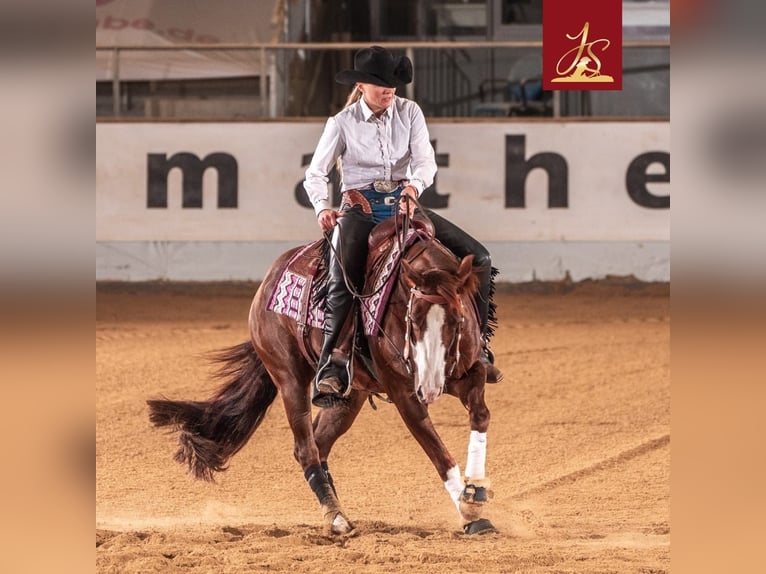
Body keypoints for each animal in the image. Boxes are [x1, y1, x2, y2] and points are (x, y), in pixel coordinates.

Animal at [148, 213, 500, 540]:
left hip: (349, 396)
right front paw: (470, 514)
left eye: (457, 319)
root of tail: (267, 282)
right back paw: (337, 518)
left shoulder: (467, 372)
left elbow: (480, 414)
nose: (429, 386)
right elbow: (436, 450)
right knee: (306, 448)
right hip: (289, 378)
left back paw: (334, 509)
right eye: (412, 319)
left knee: (320, 442)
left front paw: (474, 491)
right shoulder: (403, 393)